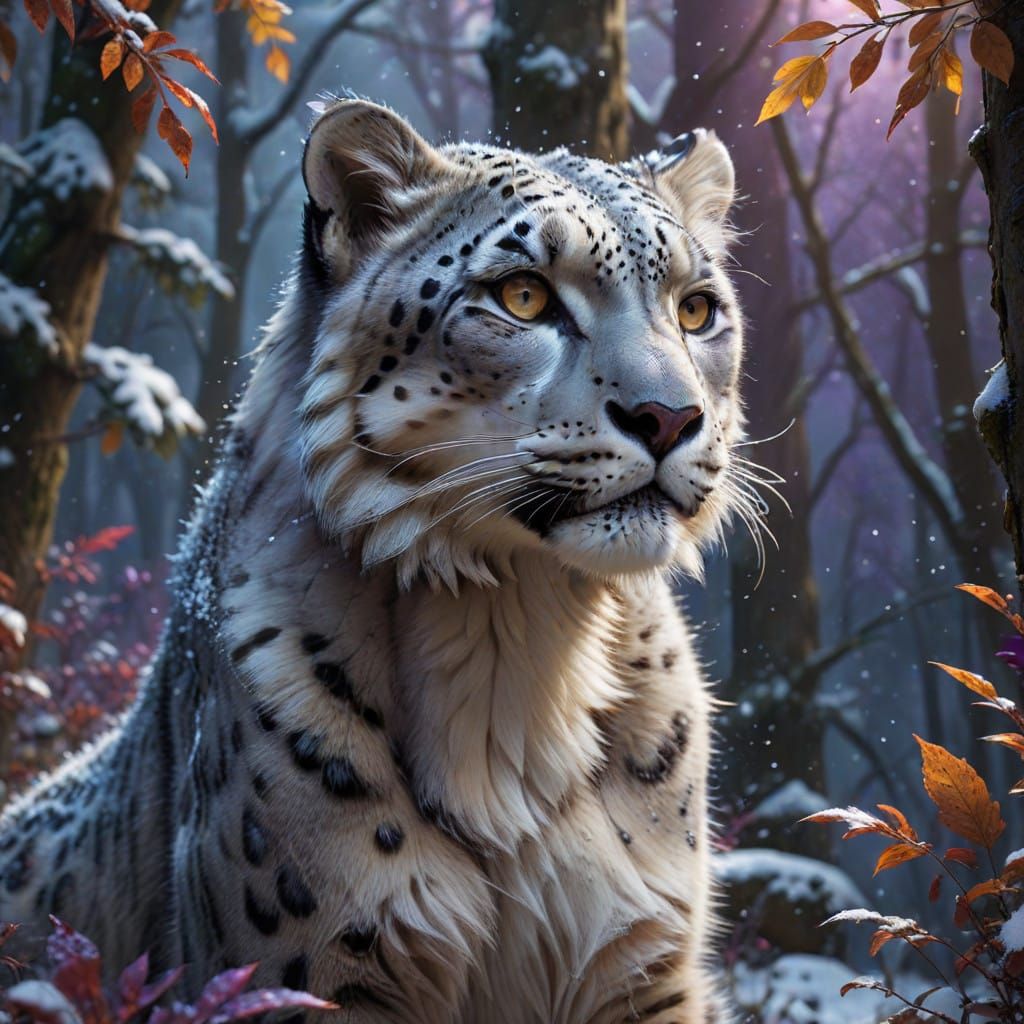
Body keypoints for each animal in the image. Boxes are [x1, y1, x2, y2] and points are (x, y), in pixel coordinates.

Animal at [0, 99, 749, 1023]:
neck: (517, 645)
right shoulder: (315, 970)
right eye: (523, 294)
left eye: (696, 309)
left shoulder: (642, 965)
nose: (669, 416)